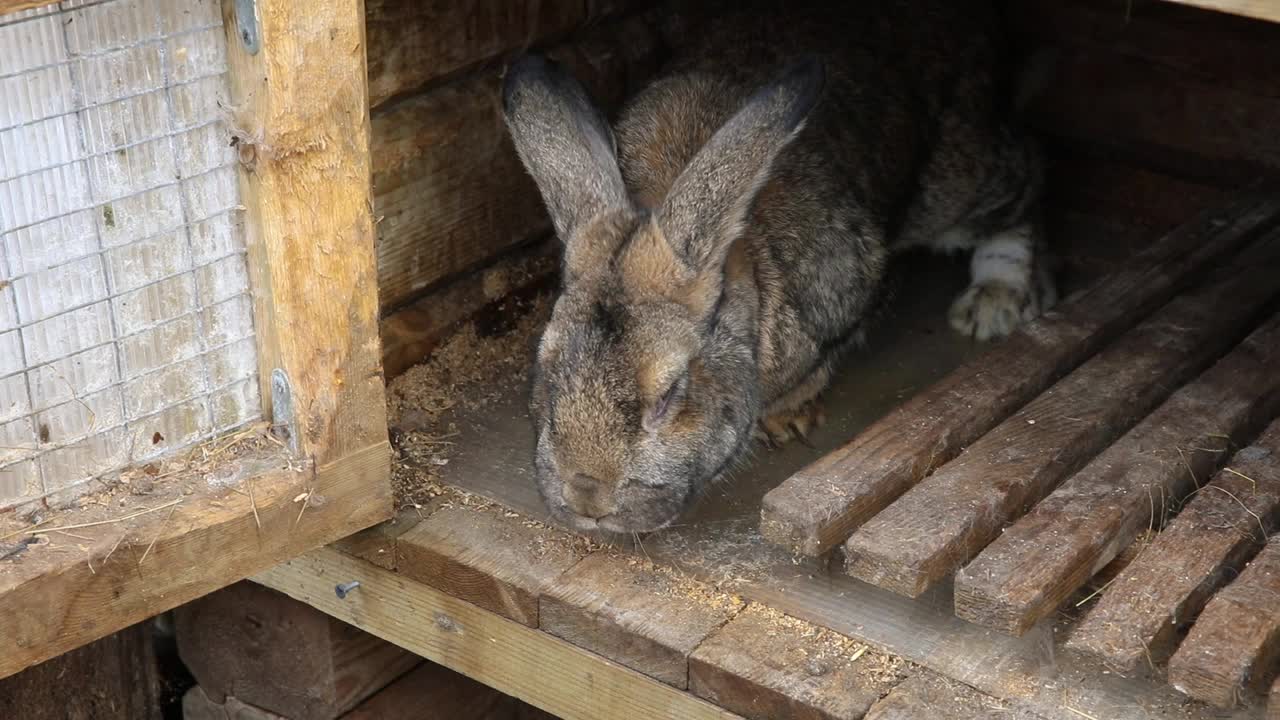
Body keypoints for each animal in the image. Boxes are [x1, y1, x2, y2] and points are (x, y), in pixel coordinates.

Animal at [496, 0, 1049, 530]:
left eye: (670, 394)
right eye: (545, 371)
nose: (586, 499)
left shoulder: (854, 283)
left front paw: (786, 419)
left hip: (957, 183)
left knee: (1023, 183)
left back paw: (994, 302)